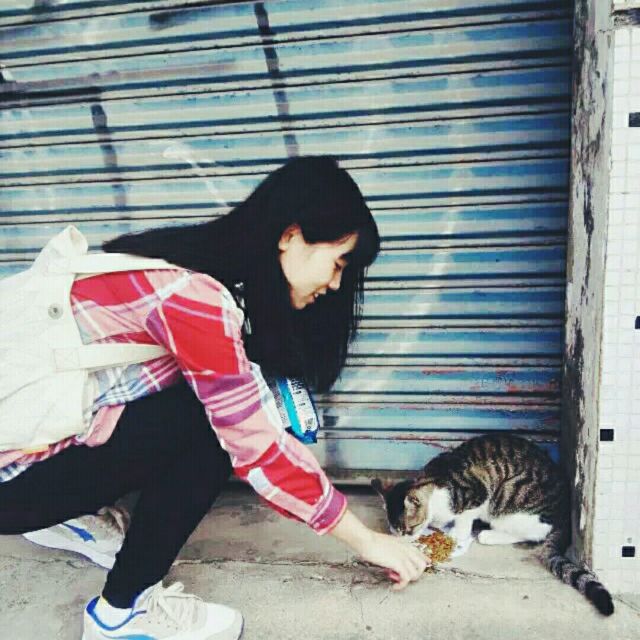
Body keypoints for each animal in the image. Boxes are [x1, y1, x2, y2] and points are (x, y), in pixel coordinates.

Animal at [372, 433, 614, 616]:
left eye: (408, 529)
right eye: (394, 532)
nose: (403, 541)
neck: (433, 483)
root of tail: (564, 514)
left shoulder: (478, 494)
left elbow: (464, 518)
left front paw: (456, 535)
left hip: (509, 498)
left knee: (534, 533)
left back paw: (489, 535)